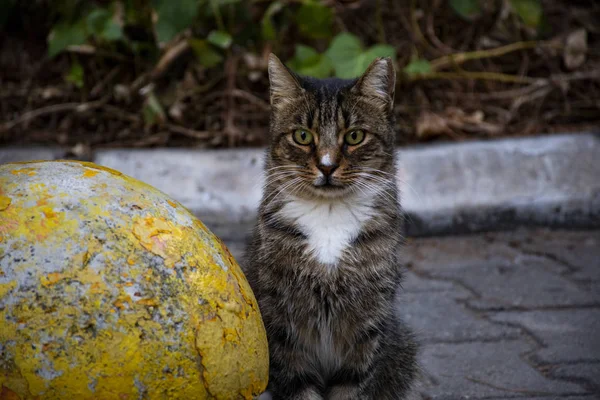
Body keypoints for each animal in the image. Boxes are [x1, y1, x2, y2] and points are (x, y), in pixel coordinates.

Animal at [244, 54, 418, 400]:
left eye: (354, 136)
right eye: (302, 136)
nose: (326, 166)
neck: (328, 216)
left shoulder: (367, 328)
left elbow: (352, 386)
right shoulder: (280, 324)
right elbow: (299, 385)